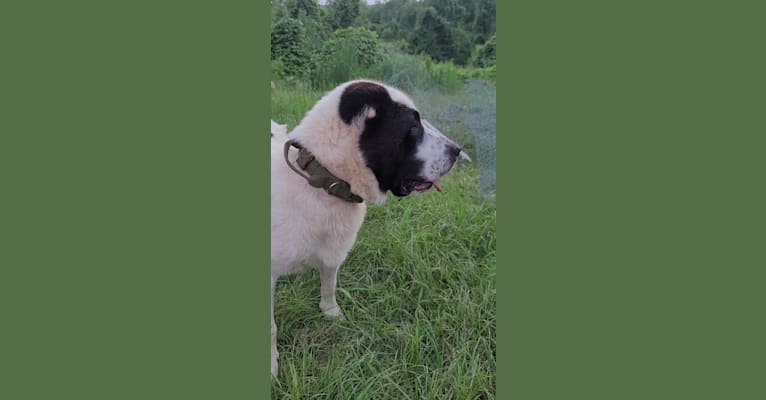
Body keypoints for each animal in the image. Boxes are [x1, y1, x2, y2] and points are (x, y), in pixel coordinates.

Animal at [270, 79, 464, 376]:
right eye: (413, 127)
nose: (457, 150)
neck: (325, 182)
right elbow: (270, 328)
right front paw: (270, 364)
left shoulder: (332, 255)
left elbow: (329, 285)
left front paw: (331, 313)